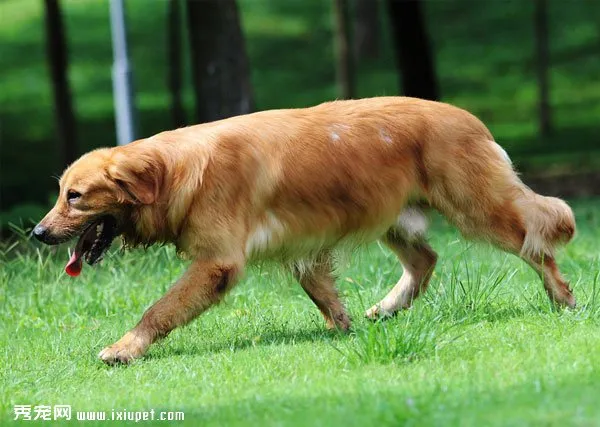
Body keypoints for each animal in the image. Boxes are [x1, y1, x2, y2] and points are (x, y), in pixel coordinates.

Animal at [34, 97, 576, 364]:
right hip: (389, 214)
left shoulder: (217, 262)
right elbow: (325, 298)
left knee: (536, 242)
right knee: (426, 260)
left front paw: (125, 348)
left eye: (74, 196)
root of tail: (471, 119)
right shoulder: (303, 249)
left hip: (476, 209)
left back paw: (563, 297)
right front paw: (345, 329)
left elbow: (159, 310)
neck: (175, 171)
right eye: (60, 192)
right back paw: (388, 306)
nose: (39, 233)